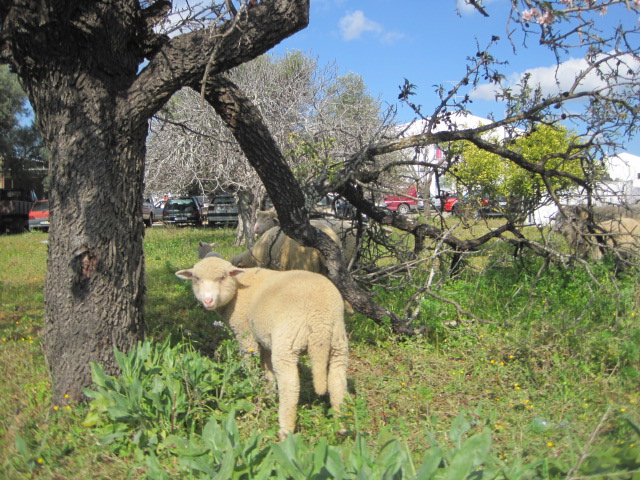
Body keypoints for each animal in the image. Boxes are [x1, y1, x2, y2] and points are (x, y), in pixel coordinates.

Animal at [175, 256, 349, 439]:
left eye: (222, 277)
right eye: (196, 278)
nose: (208, 300)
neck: (238, 287)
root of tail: (320, 319)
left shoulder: (246, 333)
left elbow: (250, 364)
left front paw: (251, 389)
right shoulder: (265, 338)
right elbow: (267, 369)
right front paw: (268, 393)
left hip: (287, 340)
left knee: (290, 384)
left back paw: (285, 430)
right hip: (338, 341)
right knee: (338, 381)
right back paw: (340, 426)